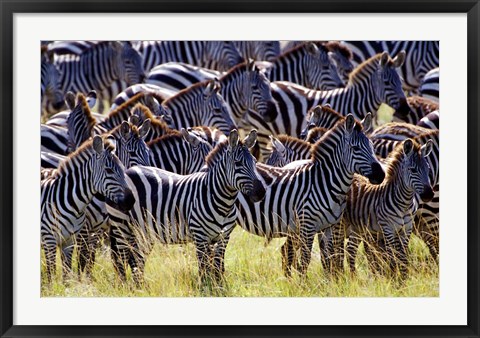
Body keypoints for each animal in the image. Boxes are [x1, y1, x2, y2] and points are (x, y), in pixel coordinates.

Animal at [40, 135, 134, 282]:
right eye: (109, 170)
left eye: (124, 169)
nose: (131, 201)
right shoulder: (49, 239)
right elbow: (51, 273)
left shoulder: (69, 240)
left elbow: (68, 273)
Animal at [107, 129, 266, 282]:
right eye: (238, 163)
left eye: (255, 161)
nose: (261, 192)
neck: (223, 203)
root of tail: (128, 170)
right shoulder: (200, 237)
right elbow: (204, 269)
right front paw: (205, 288)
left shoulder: (223, 237)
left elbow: (218, 268)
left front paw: (219, 287)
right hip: (121, 225)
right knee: (121, 259)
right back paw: (125, 286)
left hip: (144, 231)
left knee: (137, 260)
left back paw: (140, 288)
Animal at [234, 113, 384, 278]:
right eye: (355, 148)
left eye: (372, 146)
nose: (381, 175)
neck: (323, 182)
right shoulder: (309, 224)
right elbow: (309, 259)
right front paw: (305, 283)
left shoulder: (330, 226)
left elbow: (330, 256)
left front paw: (334, 280)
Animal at [342, 139, 436, 278]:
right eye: (413, 170)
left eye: (428, 169)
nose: (429, 194)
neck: (404, 205)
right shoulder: (388, 229)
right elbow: (393, 257)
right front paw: (394, 279)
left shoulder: (406, 229)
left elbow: (403, 258)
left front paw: (403, 279)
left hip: (357, 227)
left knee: (350, 249)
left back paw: (354, 277)